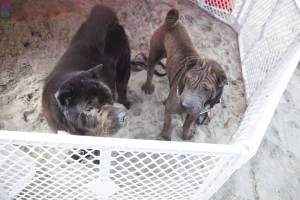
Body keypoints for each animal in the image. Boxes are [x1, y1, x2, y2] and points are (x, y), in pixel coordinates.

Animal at [42, 4, 131, 137]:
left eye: (110, 96)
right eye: (89, 108)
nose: (123, 116)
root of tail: (113, 23)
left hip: (123, 66)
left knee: (122, 87)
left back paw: (125, 102)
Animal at [141, 8, 227, 141]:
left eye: (206, 89)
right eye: (188, 80)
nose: (185, 105)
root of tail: (170, 21)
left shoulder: (195, 113)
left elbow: (187, 124)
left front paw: (186, 136)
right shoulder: (169, 110)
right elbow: (167, 124)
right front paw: (164, 136)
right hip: (155, 53)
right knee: (150, 71)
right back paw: (148, 87)